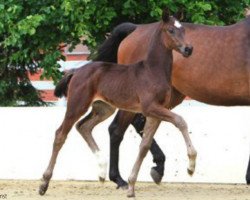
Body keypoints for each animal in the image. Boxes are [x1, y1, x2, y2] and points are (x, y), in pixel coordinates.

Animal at [39, 10, 196, 197]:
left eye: (184, 30)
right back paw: (44, 184)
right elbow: (181, 121)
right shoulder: (151, 108)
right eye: (171, 30)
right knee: (60, 134)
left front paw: (131, 187)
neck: (152, 71)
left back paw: (101, 171)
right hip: (77, 105)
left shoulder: (156, 112)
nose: (188, 49)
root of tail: (75, 71)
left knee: (83, 127)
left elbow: (144, 146)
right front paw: (191, 166)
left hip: (104, 108)